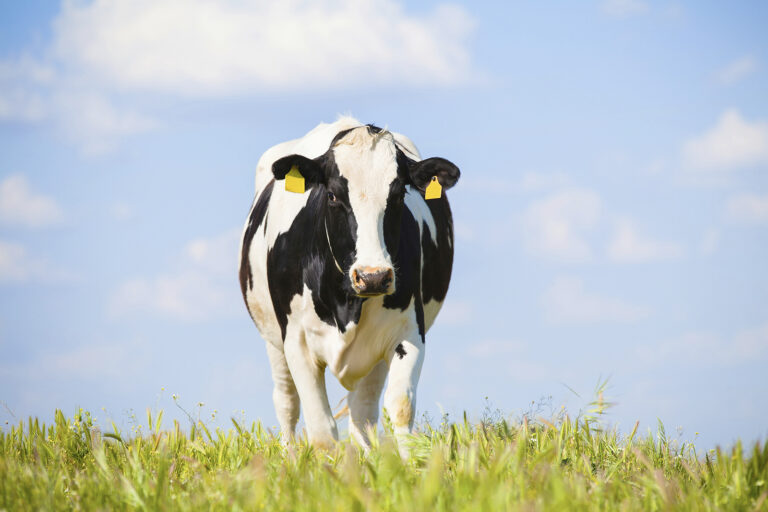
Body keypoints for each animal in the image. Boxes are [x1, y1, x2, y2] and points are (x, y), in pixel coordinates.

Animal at [237, 118, 460, 454]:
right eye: (332, 195)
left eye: (398, 195)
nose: (373, 276)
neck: (347, 303)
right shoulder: (297, 341)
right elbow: (321, 431)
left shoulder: (408, 331)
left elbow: (400, 406)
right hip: (273, 341)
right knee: (287, 403)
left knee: (362, 410)